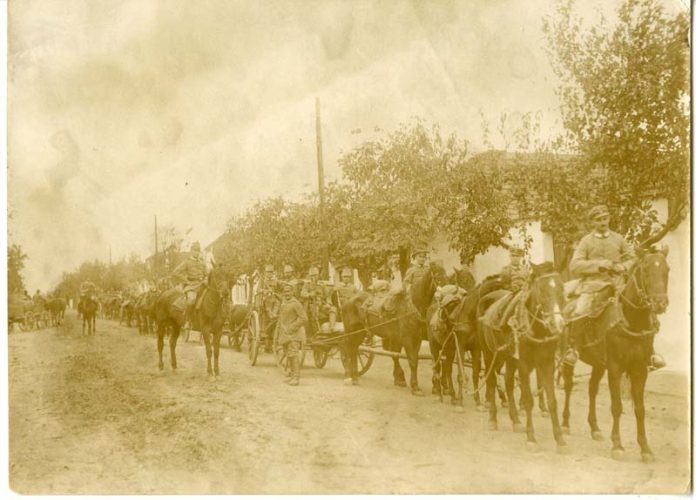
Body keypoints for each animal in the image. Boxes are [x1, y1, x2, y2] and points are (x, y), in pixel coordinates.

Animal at [342, 264, 436, 396]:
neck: (411, 307)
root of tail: (349, 301)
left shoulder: (416, 338)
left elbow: (412, 359)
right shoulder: (407, 339)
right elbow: (412, 360)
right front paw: (415, 387)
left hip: (360, 332)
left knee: (354, 350)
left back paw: (355, 378)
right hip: (350, 331)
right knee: (348, 349)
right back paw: (348, 376)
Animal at [482, 264, 568, 452]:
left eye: (562, 289)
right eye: (542, 291)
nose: (557, 324)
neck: (536, 329)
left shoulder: (547, 363)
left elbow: (552, 401)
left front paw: (560, 440)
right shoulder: (523, 364)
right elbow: (528, 400)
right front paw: (531, 438)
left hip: (508, 359)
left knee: (507, 383)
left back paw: (515, 420)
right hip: (491, 355)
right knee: (491, 383)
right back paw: (492, 419)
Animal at [560, 248, 668, 462]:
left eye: (667, 269)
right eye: (645, 270)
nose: (660, 303)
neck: (631, 321)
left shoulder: (639, 370)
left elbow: (640, 409)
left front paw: (645, 448)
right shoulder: (615, 368)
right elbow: (617, 406)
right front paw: (617, 445)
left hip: (598, 365)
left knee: (592, 389)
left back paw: (594, 428)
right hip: (567, 361)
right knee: (568, 387)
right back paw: (565, 423)